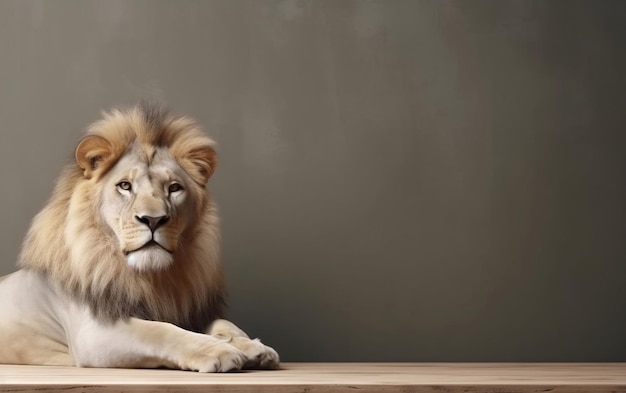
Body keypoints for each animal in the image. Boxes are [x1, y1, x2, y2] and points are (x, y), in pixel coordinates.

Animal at [0, 102, 278, 372]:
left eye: (174, 188)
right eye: (125, 186)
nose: (153, 220)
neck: (150, 278)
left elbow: (223, 323)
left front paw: (253, 346)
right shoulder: (93, 333)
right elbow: (161, 331)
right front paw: (220, 351)